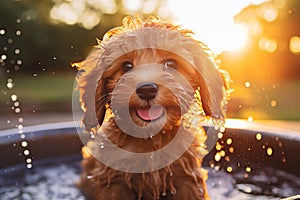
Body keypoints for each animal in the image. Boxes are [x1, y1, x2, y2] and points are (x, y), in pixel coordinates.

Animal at [74, 15, 230, 200]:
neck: (150, 140)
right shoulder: (113, 182)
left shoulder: (187, 179)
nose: (146, 89)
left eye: (171, 64)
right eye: (126, 66)